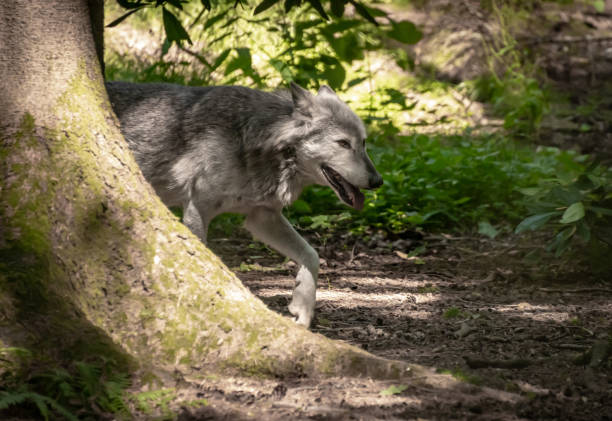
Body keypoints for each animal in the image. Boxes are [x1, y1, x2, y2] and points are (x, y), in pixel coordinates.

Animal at [105, 80, 382, 326]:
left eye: (364, 143)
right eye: (343, 143)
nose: (378, 181)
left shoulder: (262, 216)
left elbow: (311, 255)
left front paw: (302, 310)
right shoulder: (198, 207)